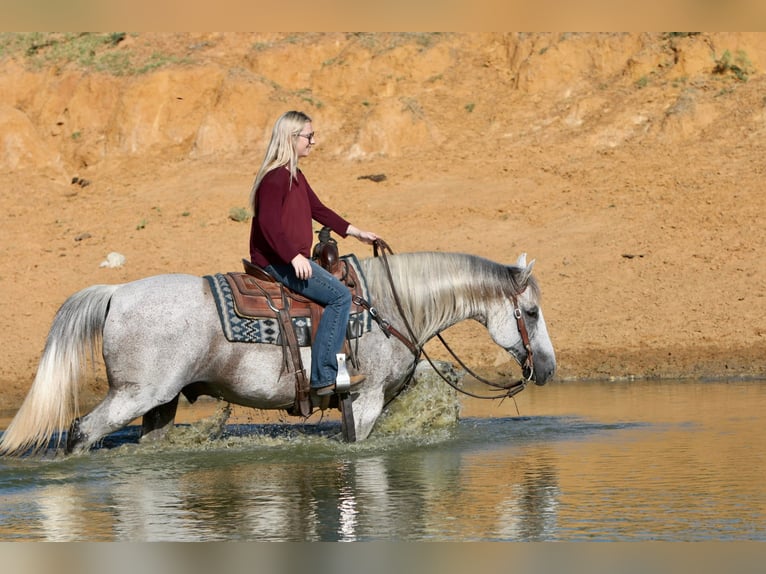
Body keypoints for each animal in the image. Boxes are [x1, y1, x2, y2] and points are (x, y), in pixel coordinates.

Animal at [0, 252, 556, 460]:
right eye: (529, 312)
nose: (548, 368)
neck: (391, 304)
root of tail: (117, 292)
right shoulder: (366, 399)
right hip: (135, 395)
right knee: (80, 432)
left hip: (161, 404)